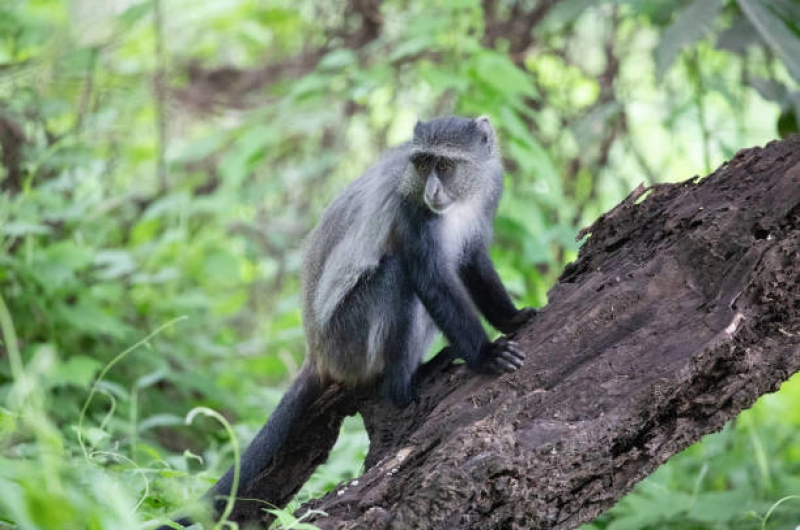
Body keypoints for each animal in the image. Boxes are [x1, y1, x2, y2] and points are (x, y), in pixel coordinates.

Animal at [158, 115, 535, 528]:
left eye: (446, 166)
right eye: (423, 164)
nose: (432, 190)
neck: (458, 201)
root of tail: (317, 353)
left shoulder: (488, 192)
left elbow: (472, 261)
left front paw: (512, 317)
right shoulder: (410, 208)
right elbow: (432, 278)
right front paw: (485, 354)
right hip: (349, 339)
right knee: (399, 274)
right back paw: (408, 382)